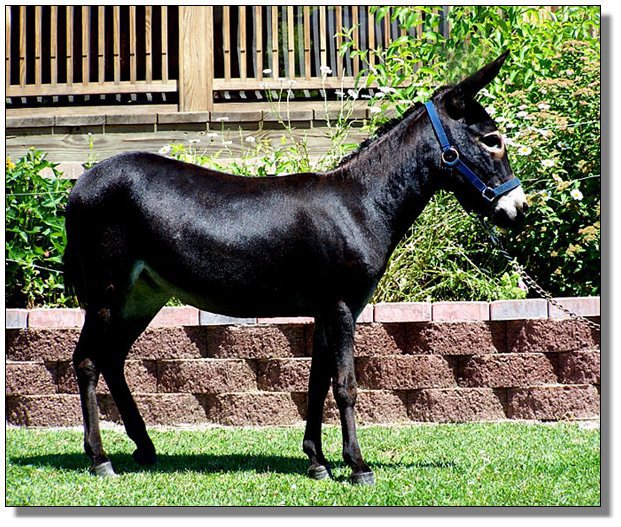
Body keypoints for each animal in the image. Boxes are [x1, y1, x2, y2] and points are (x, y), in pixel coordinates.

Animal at [63, 51, 526, 484]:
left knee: (112, 359)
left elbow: (318, 383)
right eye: (492, 140)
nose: (519, 210)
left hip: (143, 294)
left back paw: (143, 447)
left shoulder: (328, 310)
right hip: (108, 290)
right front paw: (357, 466)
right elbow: (345, 385)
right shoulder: (340, 306)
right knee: (86, 361)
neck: (360, 203)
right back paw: (100, 459)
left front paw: (317, 461)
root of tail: (81, 183)